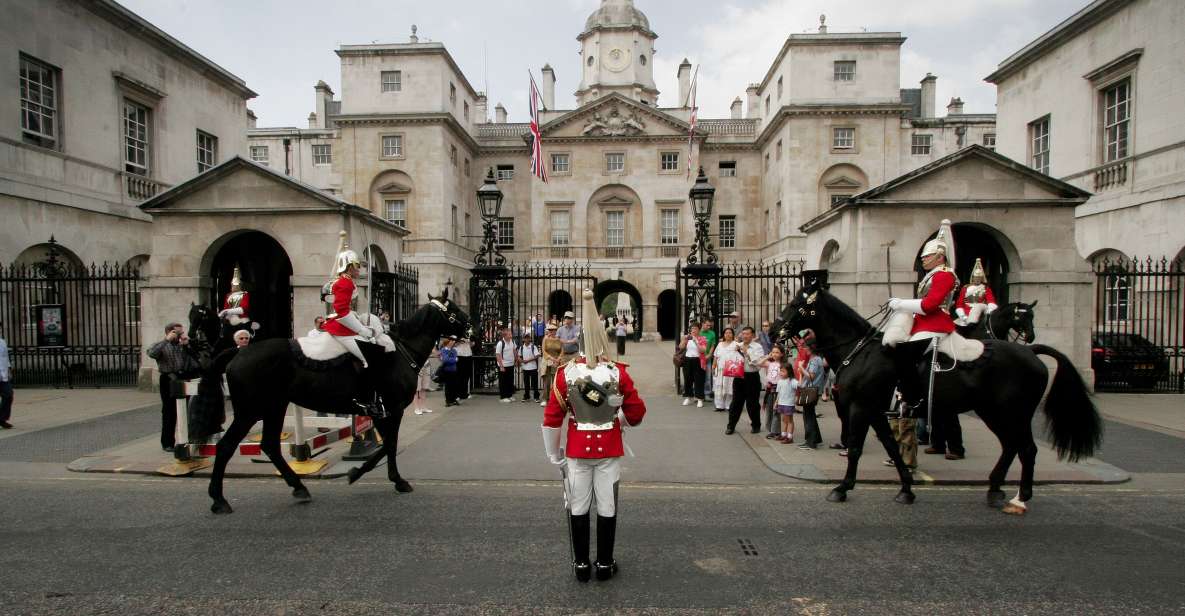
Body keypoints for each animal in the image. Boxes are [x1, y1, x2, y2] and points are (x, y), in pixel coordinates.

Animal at [208, 293, 466, 514]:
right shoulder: (392, 409)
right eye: (453, 310)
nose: (472, 327)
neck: (399, 352)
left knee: (270, 445)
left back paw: (299, 488)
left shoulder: (380, 412)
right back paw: (219, 499)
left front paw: (362, 472)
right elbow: (390, 444)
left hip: (275, 406)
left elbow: (387, 444)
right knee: (226, 446)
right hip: (249, 411)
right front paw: (385, 478)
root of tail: (239, 352)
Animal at [777, 281, 1099, 511]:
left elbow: (856, 447)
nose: (777, 330)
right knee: (1012, 446)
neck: (859, 350)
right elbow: (893, 447)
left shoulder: (860, 407)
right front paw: (906, 489)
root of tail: (1030, 351)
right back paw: (995, 489)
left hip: (1011, 412)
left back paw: (1020, 497)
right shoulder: (876, 411)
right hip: (993, 411)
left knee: (1026, 449)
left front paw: (841, 488)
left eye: (796, 304)